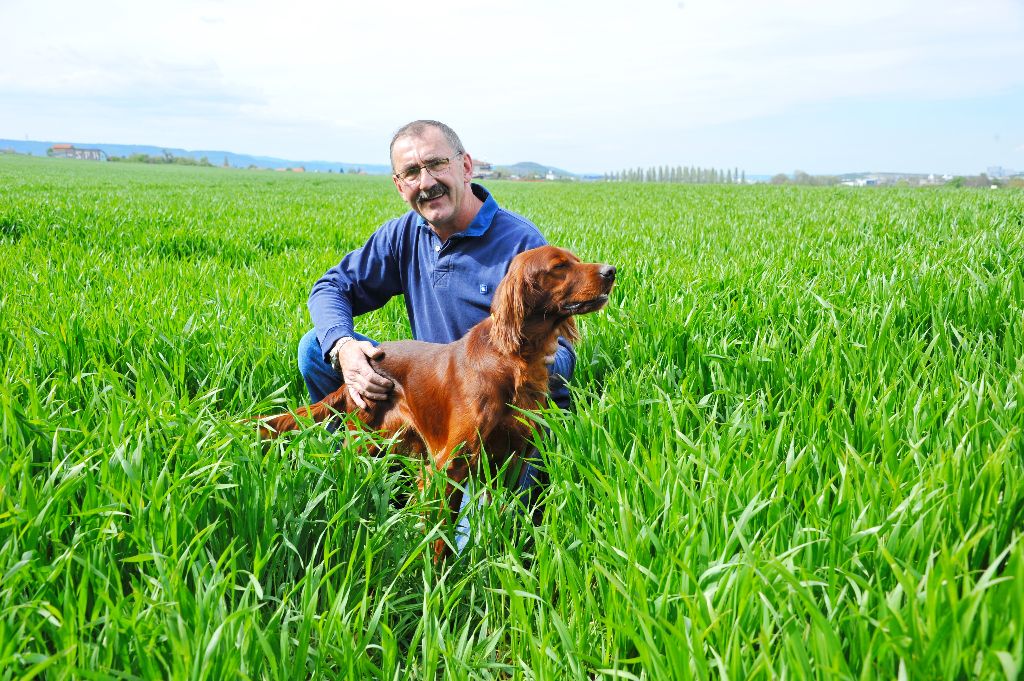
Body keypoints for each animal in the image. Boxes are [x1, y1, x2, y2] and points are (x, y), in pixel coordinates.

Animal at [264, 244, 614, 557]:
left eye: (575, 260)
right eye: (559, 266)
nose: (611, 271)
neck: (510, 360)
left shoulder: (511, 460)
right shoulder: (452, 463)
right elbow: (440, 532)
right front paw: (438, 575)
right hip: (364, 438)